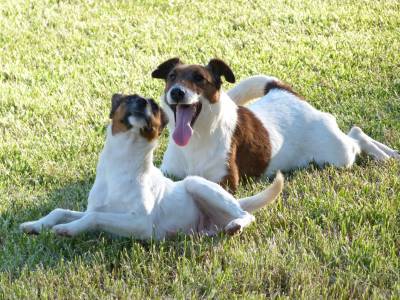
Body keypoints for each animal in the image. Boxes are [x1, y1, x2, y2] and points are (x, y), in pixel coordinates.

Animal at [19, 94, 284, 239]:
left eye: (155, 107)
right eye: (129, 98)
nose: (142, 101)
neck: (121, 167)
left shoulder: (141, 224)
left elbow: (93, 217)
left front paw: (68, 229)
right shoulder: (99, 209)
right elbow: (61, 210)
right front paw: (35, 225)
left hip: (197, 183)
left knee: (247, 214)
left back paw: (236, 224)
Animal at [152, 57, 398, 191]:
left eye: (199, 78)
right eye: (172, 77)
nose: (177, 92)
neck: (197, 138)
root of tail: (285, 91)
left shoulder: (225, 181)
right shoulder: (168, 172)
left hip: (337, 155)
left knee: (356, 136)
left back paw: (384, 154)